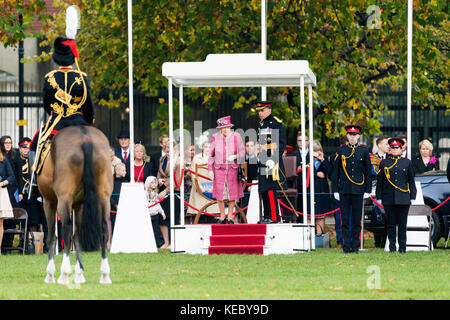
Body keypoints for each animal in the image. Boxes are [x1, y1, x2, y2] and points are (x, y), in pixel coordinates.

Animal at [37, 125, 113, 284]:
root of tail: (86, 138)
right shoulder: (79, 205)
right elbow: (77, 235)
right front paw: (79, 274)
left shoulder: (49, 202)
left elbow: (52, 236)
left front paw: (50, 274)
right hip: (104, 197)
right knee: (104, 229)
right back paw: (104, 275)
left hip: (63, 200)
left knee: (65, 228)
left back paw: (64, 274)